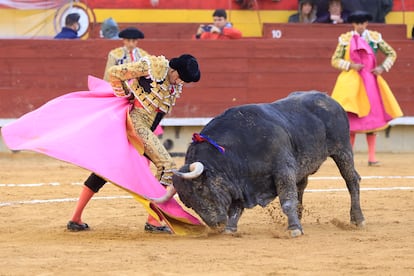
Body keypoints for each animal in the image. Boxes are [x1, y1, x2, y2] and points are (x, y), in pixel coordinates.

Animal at [171, 91, 366, 237]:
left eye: (200, 188)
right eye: (187, 203)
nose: (216, 225)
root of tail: (329, 99)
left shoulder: (283, 170)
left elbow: (287, 200)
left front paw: (294, 230)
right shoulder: (240, 182)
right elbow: (236, 208)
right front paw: (230, 229)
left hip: (342, 149)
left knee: (351, 180)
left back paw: (357, 219)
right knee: (301, 186)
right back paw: (300, 217)